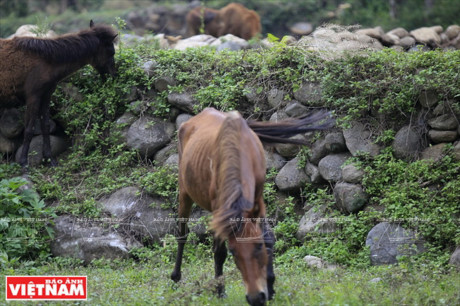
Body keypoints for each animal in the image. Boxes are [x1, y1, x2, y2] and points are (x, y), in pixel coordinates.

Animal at [0, 20, 118, 169]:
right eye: (111, 52)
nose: (113, 76)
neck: (46, 61)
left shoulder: (46, 95)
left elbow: (45, 126)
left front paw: (49, 159)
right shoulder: (33, 96)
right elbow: (29, 129)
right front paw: (23, 163)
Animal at [171, 107, 332, 304]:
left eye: (258, 247)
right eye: (234, 253)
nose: (256, 298)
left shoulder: (257, 199)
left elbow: (268, 237)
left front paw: (271, 287)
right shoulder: (222, 207)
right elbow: (220, 252)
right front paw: (220, 290)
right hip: (185, 193)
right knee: (182, 234)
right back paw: (176, 277)